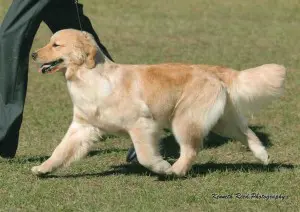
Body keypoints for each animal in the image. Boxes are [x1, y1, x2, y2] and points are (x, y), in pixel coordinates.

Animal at [30, 29, 286, 176]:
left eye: (56, 45)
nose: (32, 54)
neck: (89, 76)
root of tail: (212, 69)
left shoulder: (142, 124)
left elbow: (145, 155)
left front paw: (161, 166)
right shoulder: (83, 126)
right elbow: (60, 150)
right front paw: (42, 168)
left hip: (184, 120)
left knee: (191, 149)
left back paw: (175, 171)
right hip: (223, 121)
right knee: (248, 133)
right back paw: (263, 157)